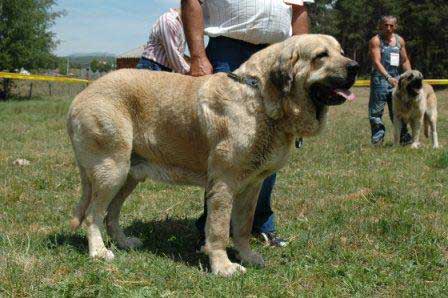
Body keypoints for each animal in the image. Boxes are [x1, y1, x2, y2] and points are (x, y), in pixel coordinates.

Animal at [67, 33, 356, 276]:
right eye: (321, 55)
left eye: (341, 52)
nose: (355, 66)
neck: (261, 97)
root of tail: (79, 97)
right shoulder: (223, 184)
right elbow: (218, 229)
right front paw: (223, 266)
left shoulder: (252, 186)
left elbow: (242, 227)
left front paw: (247, 256)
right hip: (112, 169)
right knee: (93, 214)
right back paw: (99, 252)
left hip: (129, 175)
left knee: (111, 214)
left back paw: (124, 242)